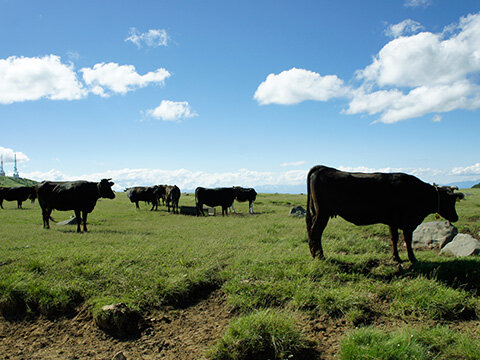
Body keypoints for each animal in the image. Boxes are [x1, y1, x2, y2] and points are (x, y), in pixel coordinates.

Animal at [306, 165, 464, 262]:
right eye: (449, 201)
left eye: (454, 201)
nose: (456, 217)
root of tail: (324, 167)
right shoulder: (407, 223)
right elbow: (408, 240)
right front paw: (412, 259)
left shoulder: (392, 221)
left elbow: (394, 238)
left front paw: (396, 257)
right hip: (323, 213)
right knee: (316, 232)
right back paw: (319, 256)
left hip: (316, 213)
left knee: (312, 232)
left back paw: (315, 254)